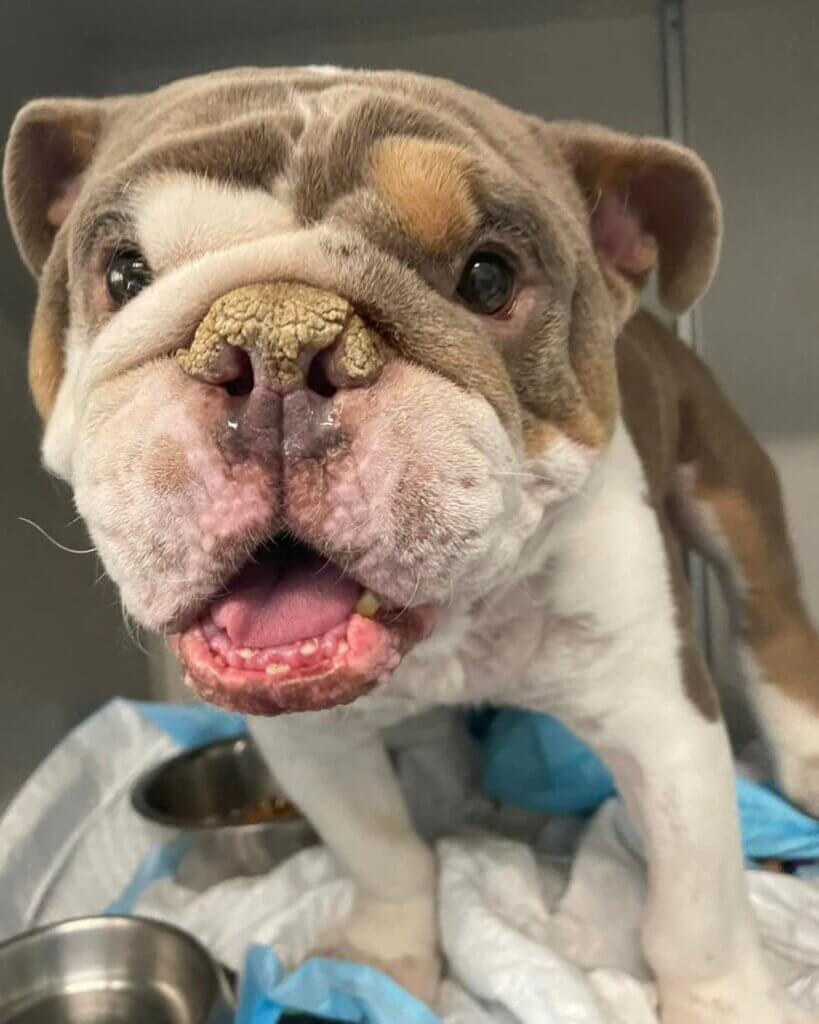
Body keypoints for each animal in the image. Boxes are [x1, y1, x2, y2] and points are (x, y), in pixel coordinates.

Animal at [5, 66, 819, 1023]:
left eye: (488, 277)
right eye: (124, 272)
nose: (275, 337)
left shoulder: (661, 722)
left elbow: (694, 908)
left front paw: (723, 1002)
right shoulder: (310, 747)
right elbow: (385, 853)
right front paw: (387, 957)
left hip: (728, 488)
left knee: (769, 619)